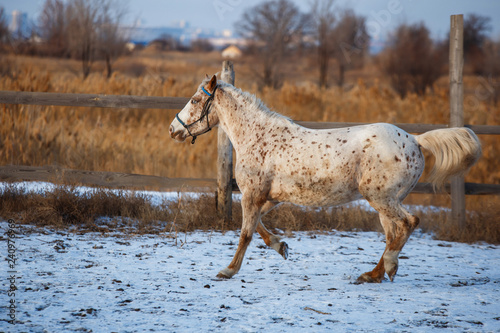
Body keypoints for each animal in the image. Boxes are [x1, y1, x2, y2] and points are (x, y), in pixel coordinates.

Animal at [170, 76, 482, 282]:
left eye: (195, 100)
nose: (173, 129)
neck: (258, 137)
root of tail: (416, 140)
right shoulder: (268, 198)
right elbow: (256, 226)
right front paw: (282, 247)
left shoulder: (253, 195)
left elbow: (246, 232)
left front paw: (228, 270)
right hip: (386, 201)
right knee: (393, 233)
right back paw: (372, 274)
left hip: (380, 198)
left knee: (409, 223)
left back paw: (389, 267)